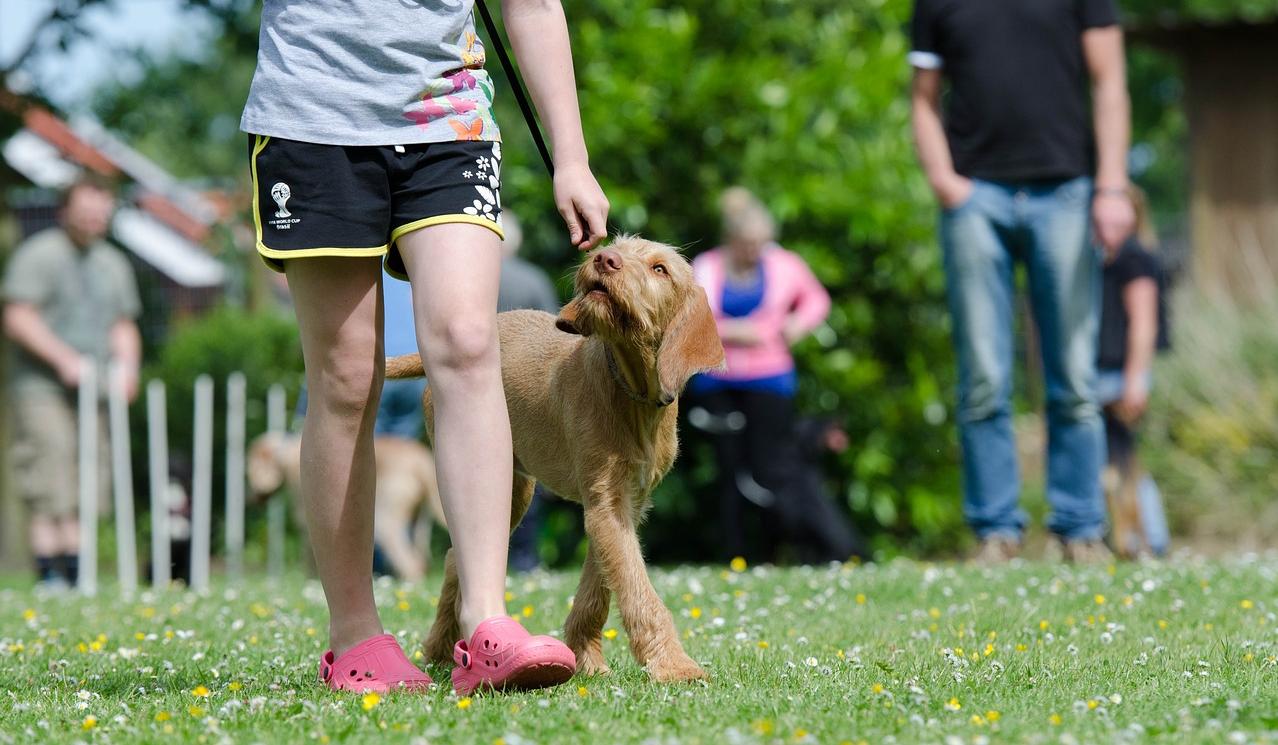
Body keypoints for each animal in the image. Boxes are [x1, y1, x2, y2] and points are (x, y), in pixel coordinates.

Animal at [246, 431, 447, 582]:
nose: (251, 499)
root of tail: (420, 461)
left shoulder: (306, 521)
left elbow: (310, 558)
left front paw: (311, 581)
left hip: (386, 520)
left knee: (410, 562)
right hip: (420, 521)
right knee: (419, 559)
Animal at [383, 236, 725, 684]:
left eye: (659, 269)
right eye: (617, 246)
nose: (604, 258)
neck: (631, 391)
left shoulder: (621, 505)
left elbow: (600, 586)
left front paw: (586, 657)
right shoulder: (606, 504)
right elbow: (638, 588)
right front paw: (674, 664)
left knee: (457, 557)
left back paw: (442, 648)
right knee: (456, 556)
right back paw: (441, 649)